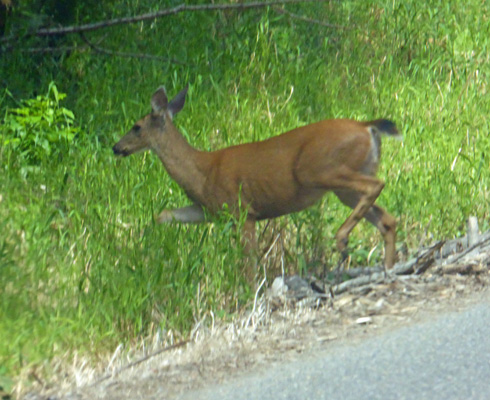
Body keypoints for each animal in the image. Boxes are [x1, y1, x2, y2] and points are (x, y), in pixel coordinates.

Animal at [113, 85, 400, 270]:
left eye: (136, 127)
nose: (116, 147)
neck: (201, 172)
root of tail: (366, 126)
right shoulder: (210, 210)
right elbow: (163, 215)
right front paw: (144, 245)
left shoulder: (241, 210)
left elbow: (248, 260)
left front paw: (251, 292)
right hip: (347, 184)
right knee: (387, 218)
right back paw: (387, 268)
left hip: (319, 169)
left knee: (376, 186)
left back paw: (342, 240)